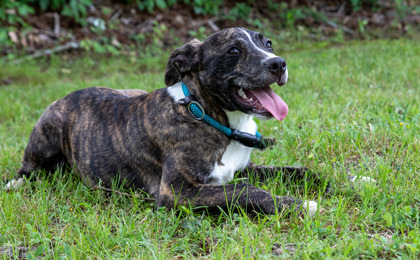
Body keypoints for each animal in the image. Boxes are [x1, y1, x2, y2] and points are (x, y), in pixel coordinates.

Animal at [7, 27, 332, 215]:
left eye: (268, 43)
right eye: (234, 50)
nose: (278, 63)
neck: (208, 115)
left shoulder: (242, 169)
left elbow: (297, 171)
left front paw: (337, 182)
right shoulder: (176, 191)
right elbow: (247, 190)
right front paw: (299, 205)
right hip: (47, 137)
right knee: (28, 172)